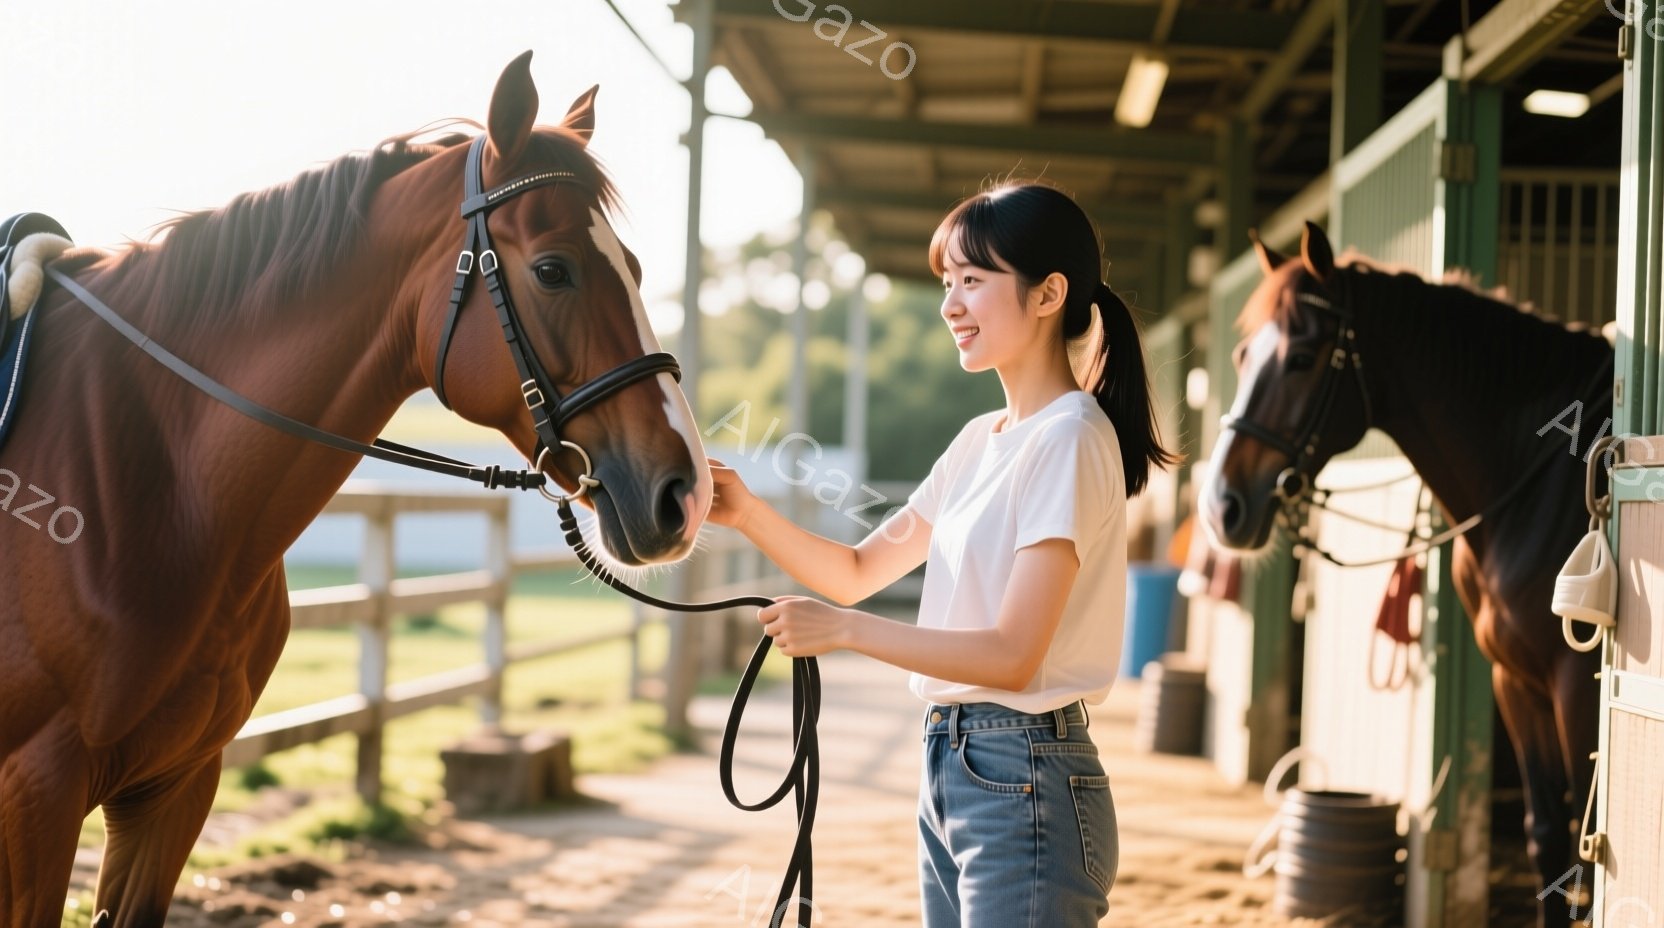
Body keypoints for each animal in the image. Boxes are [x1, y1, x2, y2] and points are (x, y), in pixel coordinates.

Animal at [0, 51, 712, 927]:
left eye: (637, 271)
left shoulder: (174, 789)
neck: (152, 483)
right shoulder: (36, 792)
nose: (685, 492)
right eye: (553, 269)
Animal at [1198, 221, 1612, 927]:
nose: (1223, 506)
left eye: (1302, 358)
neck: (1540, 475)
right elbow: (1548, 838)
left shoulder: (1577, 688)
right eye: (1243, 355)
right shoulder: (1518, 683)